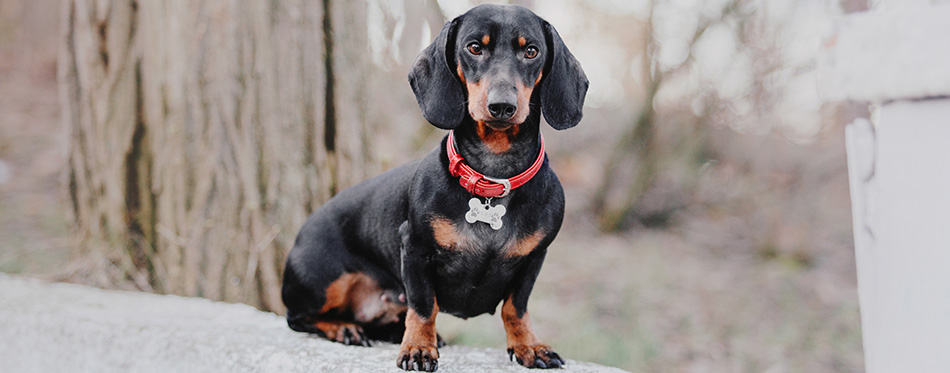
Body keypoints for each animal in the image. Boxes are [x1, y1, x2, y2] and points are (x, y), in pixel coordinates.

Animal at [284, 4, 588, 370]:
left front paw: (528, 345)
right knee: (298, 318)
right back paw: (344, 328)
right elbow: (424, 306)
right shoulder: (414, 249)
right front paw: (418, 347)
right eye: (474, 47)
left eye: (531, 51)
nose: (502, 106)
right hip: (323, 281)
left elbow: (516, 307)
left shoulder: (533, 258)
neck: (493, 176)